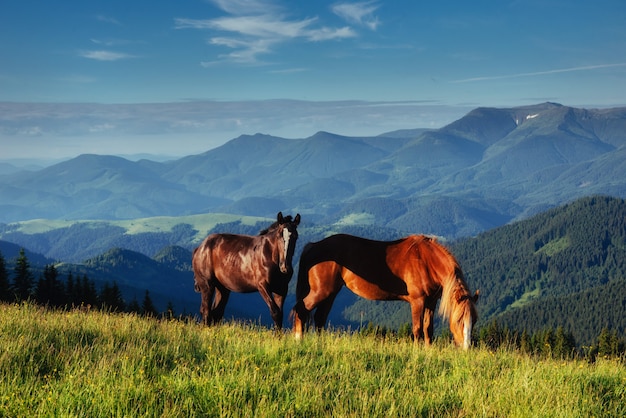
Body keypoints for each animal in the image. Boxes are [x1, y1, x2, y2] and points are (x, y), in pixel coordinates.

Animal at [292, 233, 478, 348]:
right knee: (301, 308)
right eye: (459, 320)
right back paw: (298, 340)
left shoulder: (431, 302)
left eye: (474, 320)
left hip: (330, 293)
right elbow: (417, 328)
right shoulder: (417, 301)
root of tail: (313, 246)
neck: (427, 261)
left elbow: (428, 329)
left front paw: (428, 350)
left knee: (319, 318)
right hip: (321, 292)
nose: (467, 348)